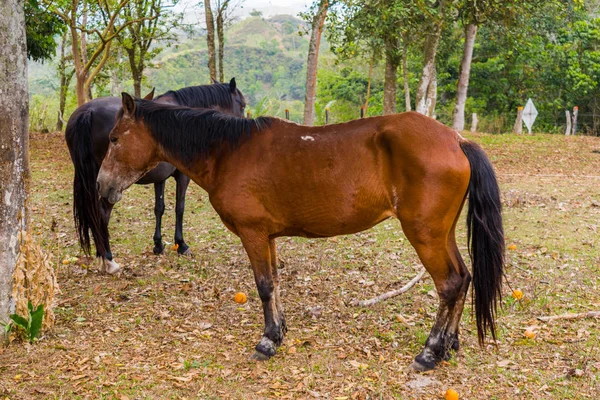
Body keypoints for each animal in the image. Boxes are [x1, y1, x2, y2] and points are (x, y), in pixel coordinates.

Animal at [64, 79, 245, 274]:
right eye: (242, 105)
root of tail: (88, 112)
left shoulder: (160, 178)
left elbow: (159, 208)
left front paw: (158, 245)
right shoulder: (182, 176)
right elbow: (179, 208)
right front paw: (181, 245)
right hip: (109, 185)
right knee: (102, 213)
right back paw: (108, 259)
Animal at [97, 92, 502, 370]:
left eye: (115, 138)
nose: (102, 187)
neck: (228, 151)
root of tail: (456, 140)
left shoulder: (253, 234)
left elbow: (263, 286)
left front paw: (267, 342)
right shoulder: (268, 236)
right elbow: (274, 283)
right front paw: (279, 331)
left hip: (425, 234)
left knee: (449, 284)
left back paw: (430, 352)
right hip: (441, 233)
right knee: (463, 278)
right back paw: (449, 345)